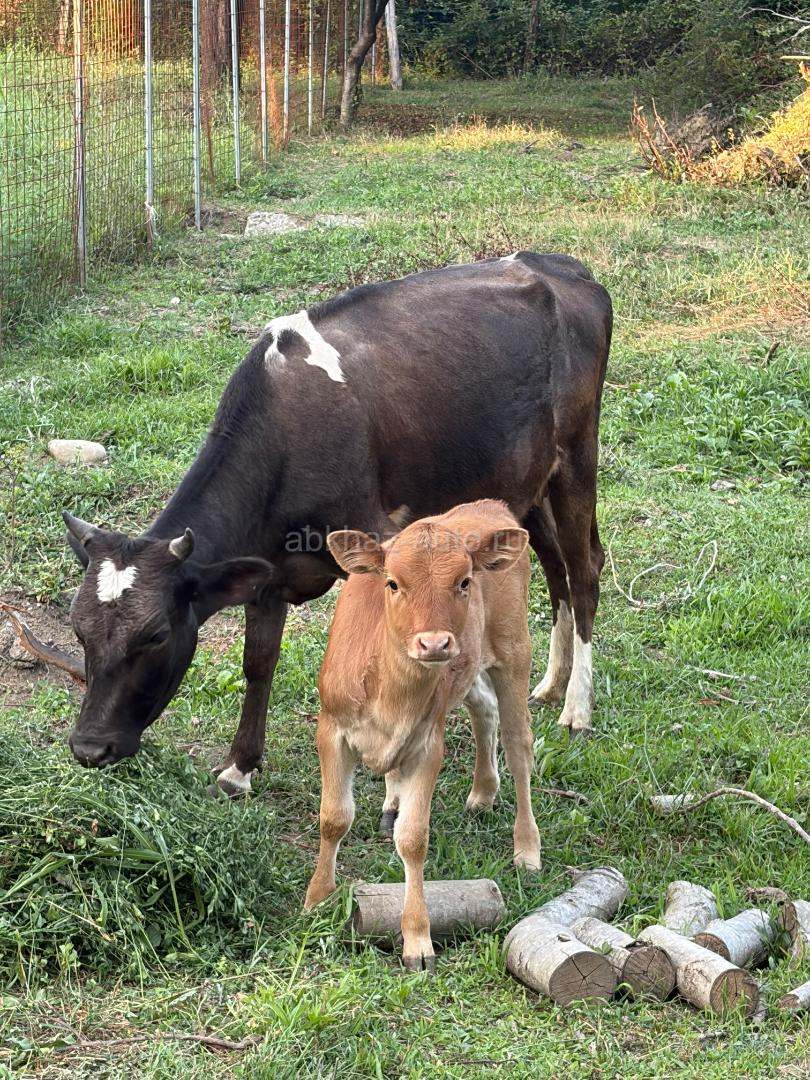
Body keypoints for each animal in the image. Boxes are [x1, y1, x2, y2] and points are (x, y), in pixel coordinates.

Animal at [60, 252, 611, 799]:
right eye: (79, 630)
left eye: (155, 635)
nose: (89, 747)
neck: (283, 440)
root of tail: (558, 265)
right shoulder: (270, 572)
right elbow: (258, 661)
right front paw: (240, 765)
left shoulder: (378, 545)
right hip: (524, 483)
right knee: (554, 568)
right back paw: (549, 683)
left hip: (576, 456)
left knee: (584, 570)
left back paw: (576, 707)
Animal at [304, 500, 541, 970]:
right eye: (393, 582)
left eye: (464, 581)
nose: (434, 644)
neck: (387, 689)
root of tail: (491, 506)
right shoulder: (331, 727)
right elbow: (333, 818)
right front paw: (317, 898)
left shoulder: (427, 747)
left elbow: (414, 840)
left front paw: (417, 939)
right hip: (470, 666)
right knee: (482, 707)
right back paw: (481, 791)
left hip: (514, 650)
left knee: (518, 745)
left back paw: (527, 847)